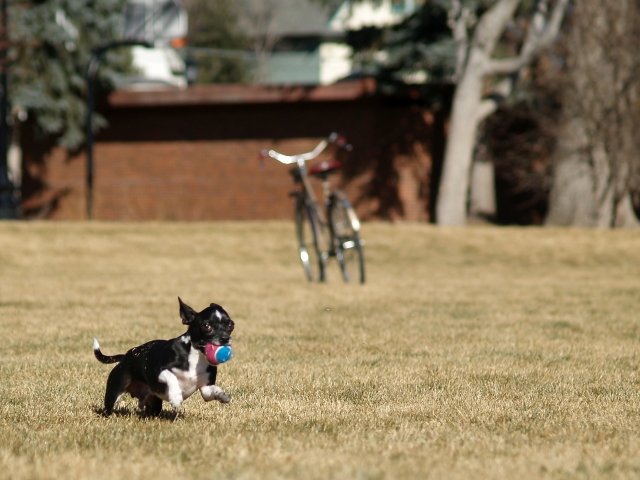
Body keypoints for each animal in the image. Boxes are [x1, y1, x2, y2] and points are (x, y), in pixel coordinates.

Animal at [94, 298, 234, 414]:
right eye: (206, 326)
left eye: (231, 325)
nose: (225, 338)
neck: (196, 356)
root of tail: (126, 356)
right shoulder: (159, 371)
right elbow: (172, 377)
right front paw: (176, 397)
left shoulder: (206, 388)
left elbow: (213, 391)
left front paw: (222, 395)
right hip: (114, 393)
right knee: (108, 408)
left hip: (154, 404)